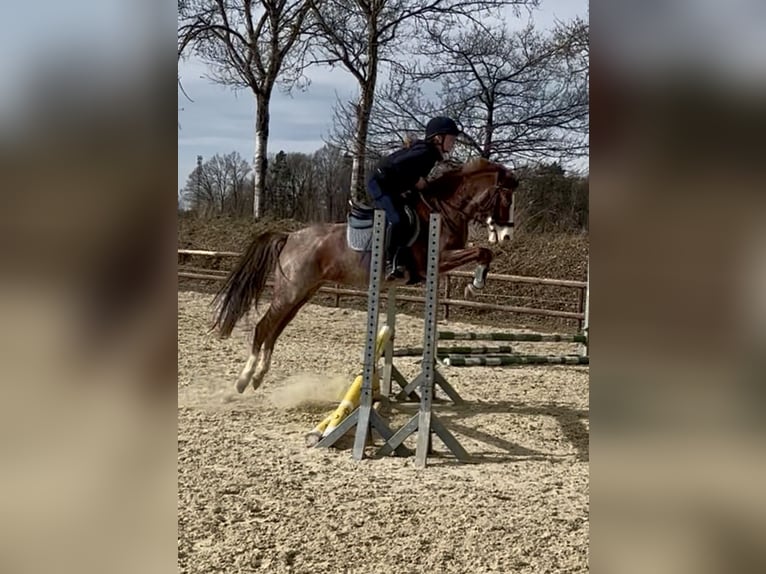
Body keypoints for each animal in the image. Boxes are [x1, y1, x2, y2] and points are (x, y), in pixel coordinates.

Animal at [213, 157, 519, 393]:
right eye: (506, 197)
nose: (506, 235)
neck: (444, 208)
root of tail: (289, 237)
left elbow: (483, 253)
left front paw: (475, 284)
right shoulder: (435, 260)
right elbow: (482, 251)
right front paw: (474, 285)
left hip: (302, 293)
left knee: (275, 330)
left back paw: (259, 376)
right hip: (291, 292)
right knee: (263, 327)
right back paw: (244, 379)